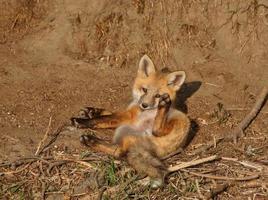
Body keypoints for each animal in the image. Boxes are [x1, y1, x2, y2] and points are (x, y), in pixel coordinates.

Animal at [70, 54, 189, 188]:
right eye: (144, 90)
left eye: (158, 96)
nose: (144, 105)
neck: (138, 109)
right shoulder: (127, 115)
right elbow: (107, 114)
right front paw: (91, 111)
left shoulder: (127, 117)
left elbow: (101, 119)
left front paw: (81, 121)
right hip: (123, 132)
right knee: (120, 152)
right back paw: (90, 141)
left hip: (177, 119)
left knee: (156, 131)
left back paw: (164, 106)